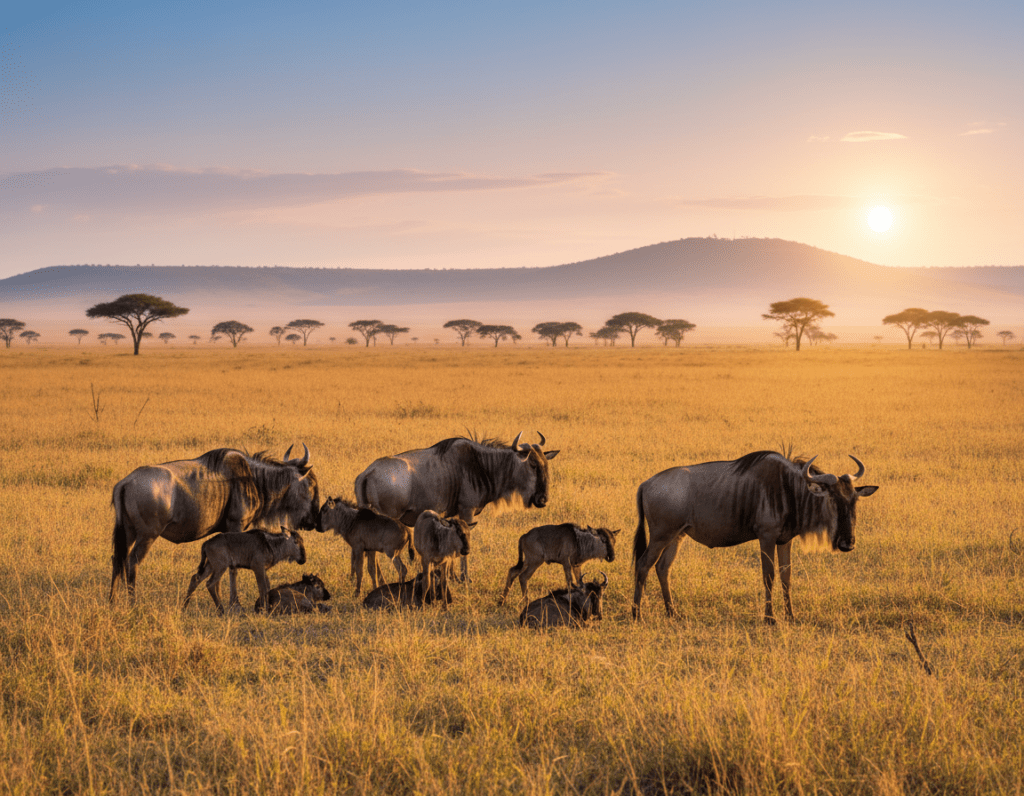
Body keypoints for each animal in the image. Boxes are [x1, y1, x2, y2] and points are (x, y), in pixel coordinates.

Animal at [110, 445, 319, 603]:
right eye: (311, 484)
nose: (314, 520)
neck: (253, 478)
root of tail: (126, 482)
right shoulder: (236, 526)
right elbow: (234, 570)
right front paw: (235, 602)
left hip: (128, 534)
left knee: (117, 560)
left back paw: (113, 601)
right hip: (147, 536)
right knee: (132, 562)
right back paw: (133, 602)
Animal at [354, 432, 559, 580]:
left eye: (545, 464)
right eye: (532, 465)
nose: (543, 499)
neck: (481, 465)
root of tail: (367, 473)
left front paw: (451, 575)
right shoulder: (467, 511)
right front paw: (464, 577)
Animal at [632, 451, 878, 623]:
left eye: (854, 500)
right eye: (832, 499)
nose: (848, 543)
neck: (790, 490)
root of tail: (646, 483)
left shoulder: (784, 540)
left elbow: (786, 577)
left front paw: (791, 616)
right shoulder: (766, 537)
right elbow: (768, 576)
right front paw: (770, 619)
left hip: (676, 536)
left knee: (663, 568)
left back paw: (672, 613)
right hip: (660, 536)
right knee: (643, 565)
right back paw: (637, 615)